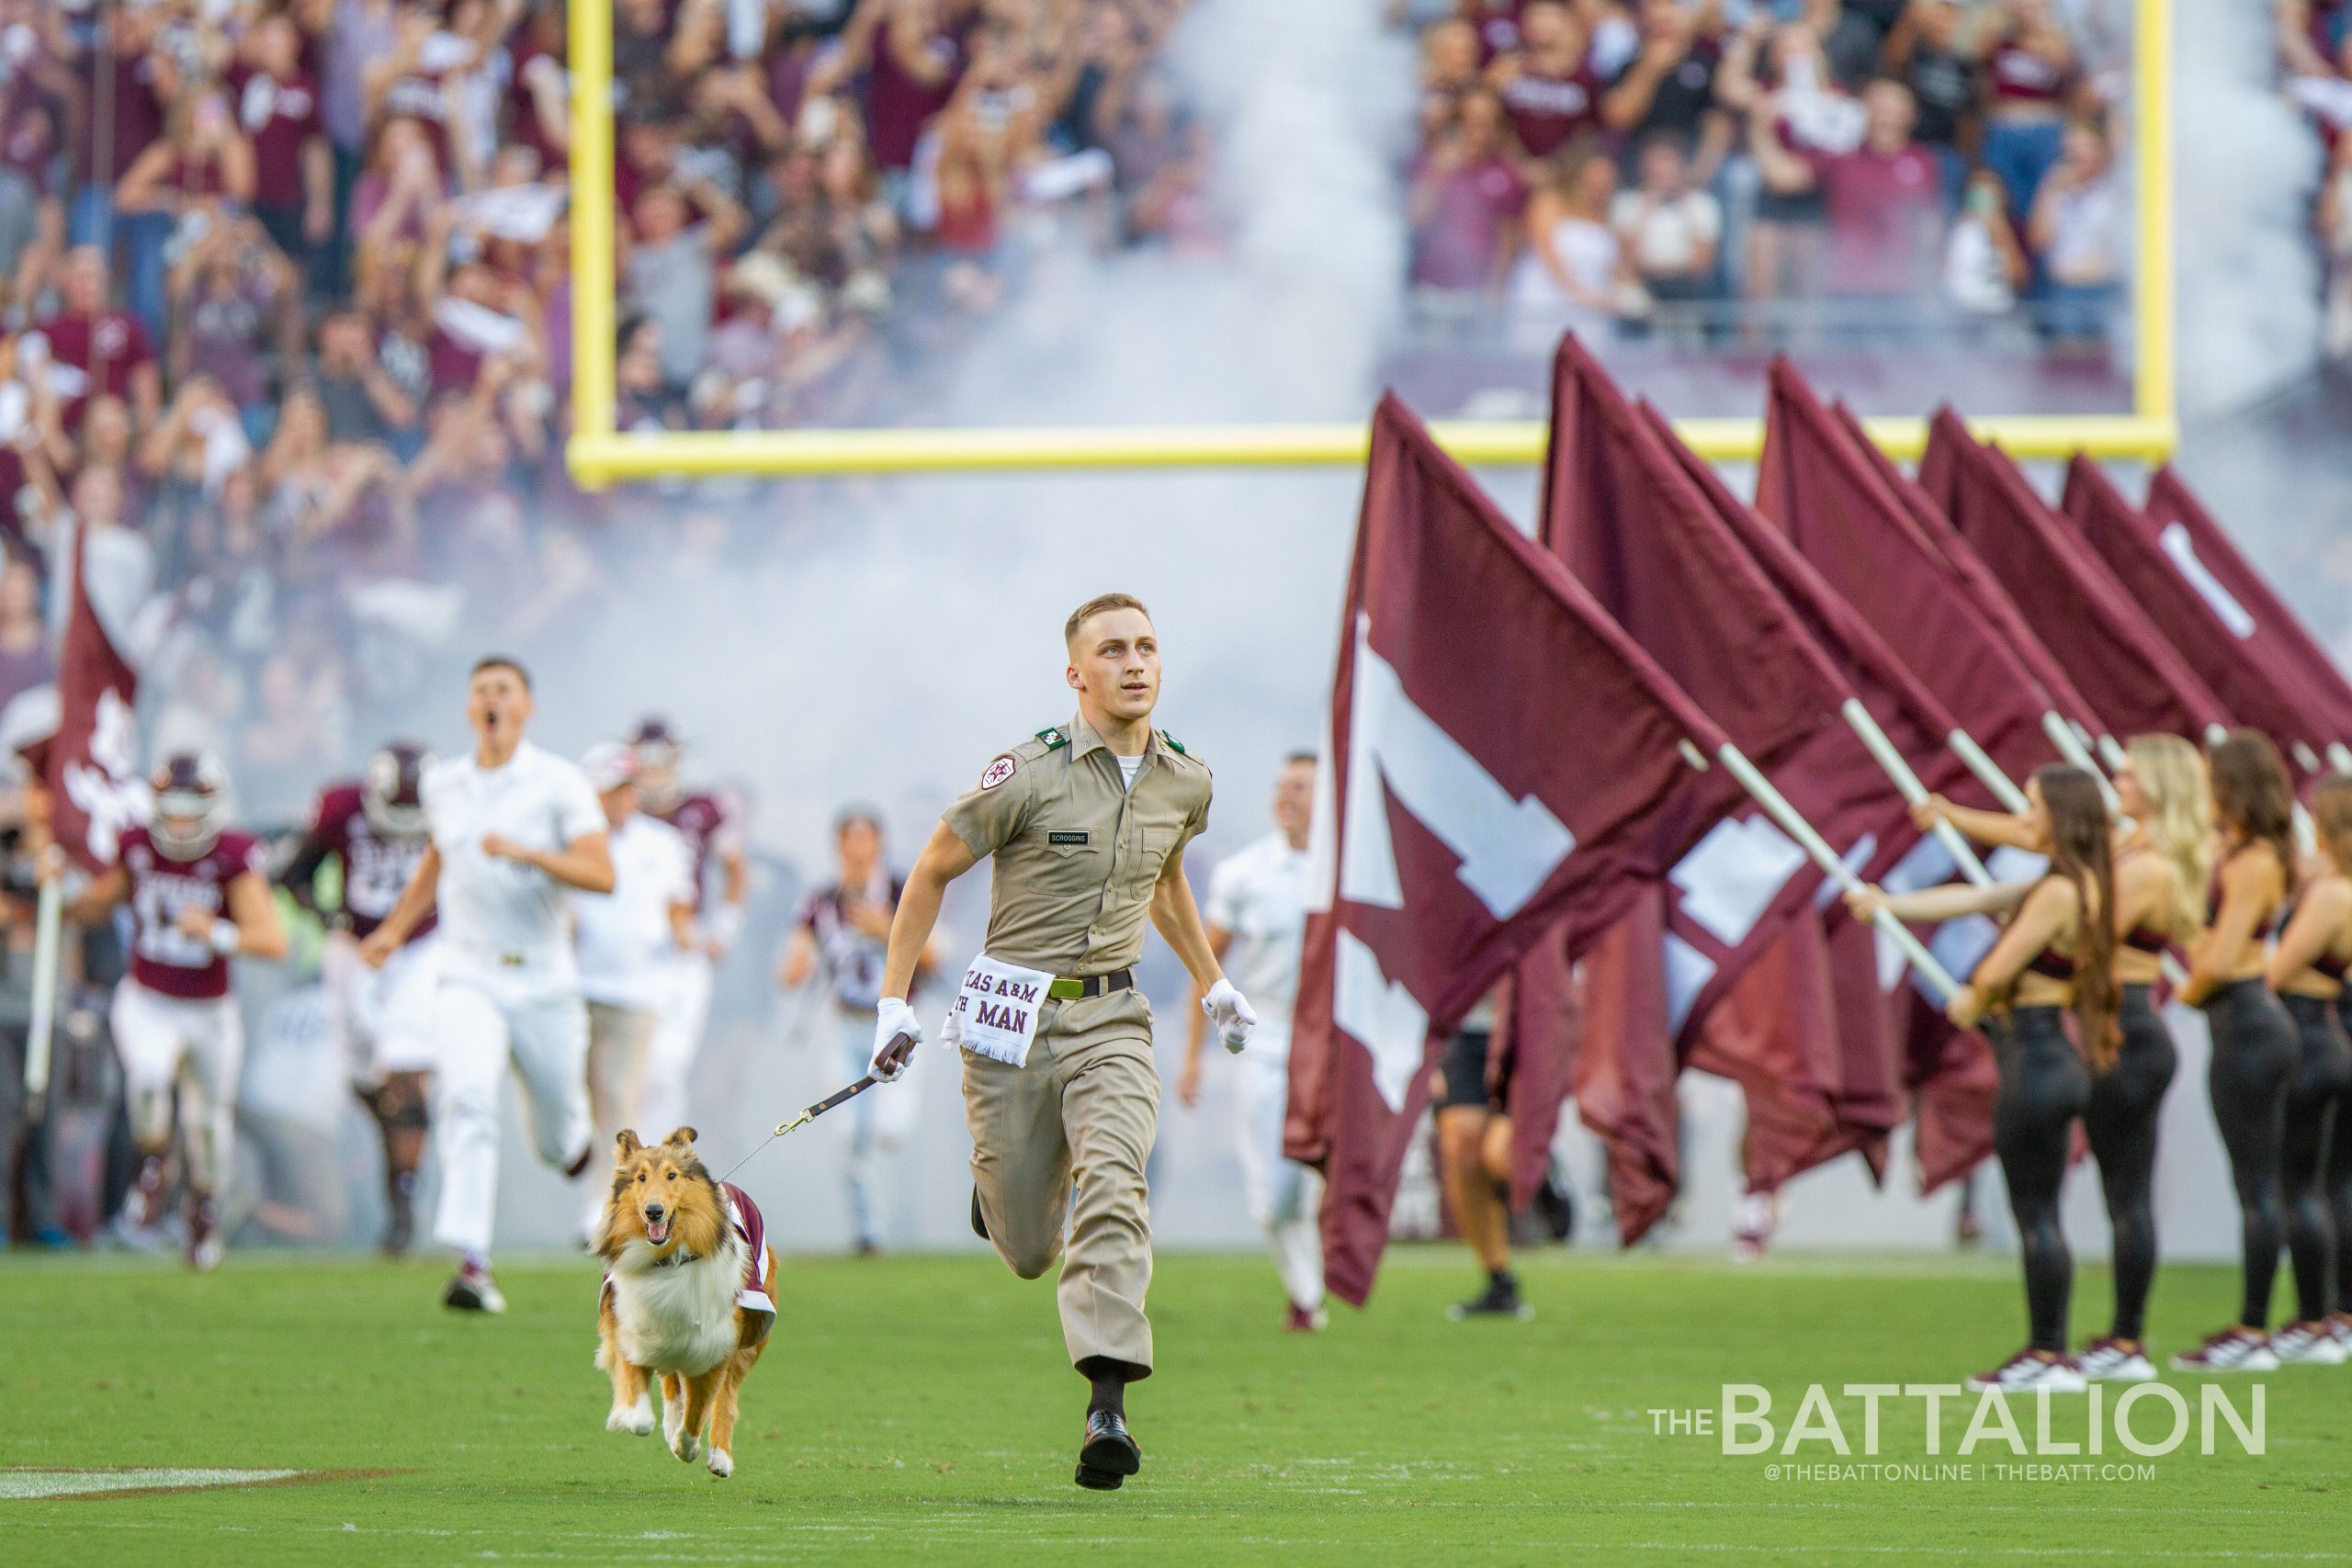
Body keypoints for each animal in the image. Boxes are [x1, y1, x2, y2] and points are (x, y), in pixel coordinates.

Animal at [593, 1128, 775, 1485]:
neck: (670, 1258)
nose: (654, 1211)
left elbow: (697, 1414)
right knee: (670, 1380)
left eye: (672, 1175)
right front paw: (626, 1417)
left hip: (748, 1342)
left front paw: (686, 1447)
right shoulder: (631, 1326)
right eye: (640, 1177)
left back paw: (719, 1457)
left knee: (725, 1399)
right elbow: (641, 1416)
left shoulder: (713, 1345)